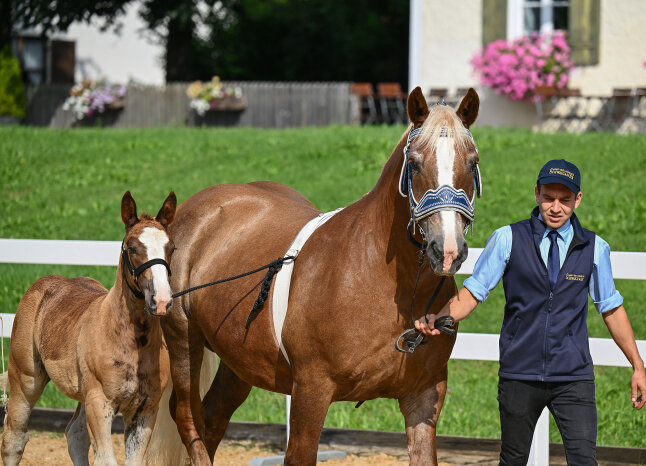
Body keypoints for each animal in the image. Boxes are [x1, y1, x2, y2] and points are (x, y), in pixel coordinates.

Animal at [0, 191, 177, 464]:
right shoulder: (99, 403)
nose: (161, 300)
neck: (130, 342)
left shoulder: (145, 409)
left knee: (75, 434)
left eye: (171, 248)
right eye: (132, 247)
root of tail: (45, 282)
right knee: (14, 437)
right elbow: (105, 459)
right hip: (25, 379)